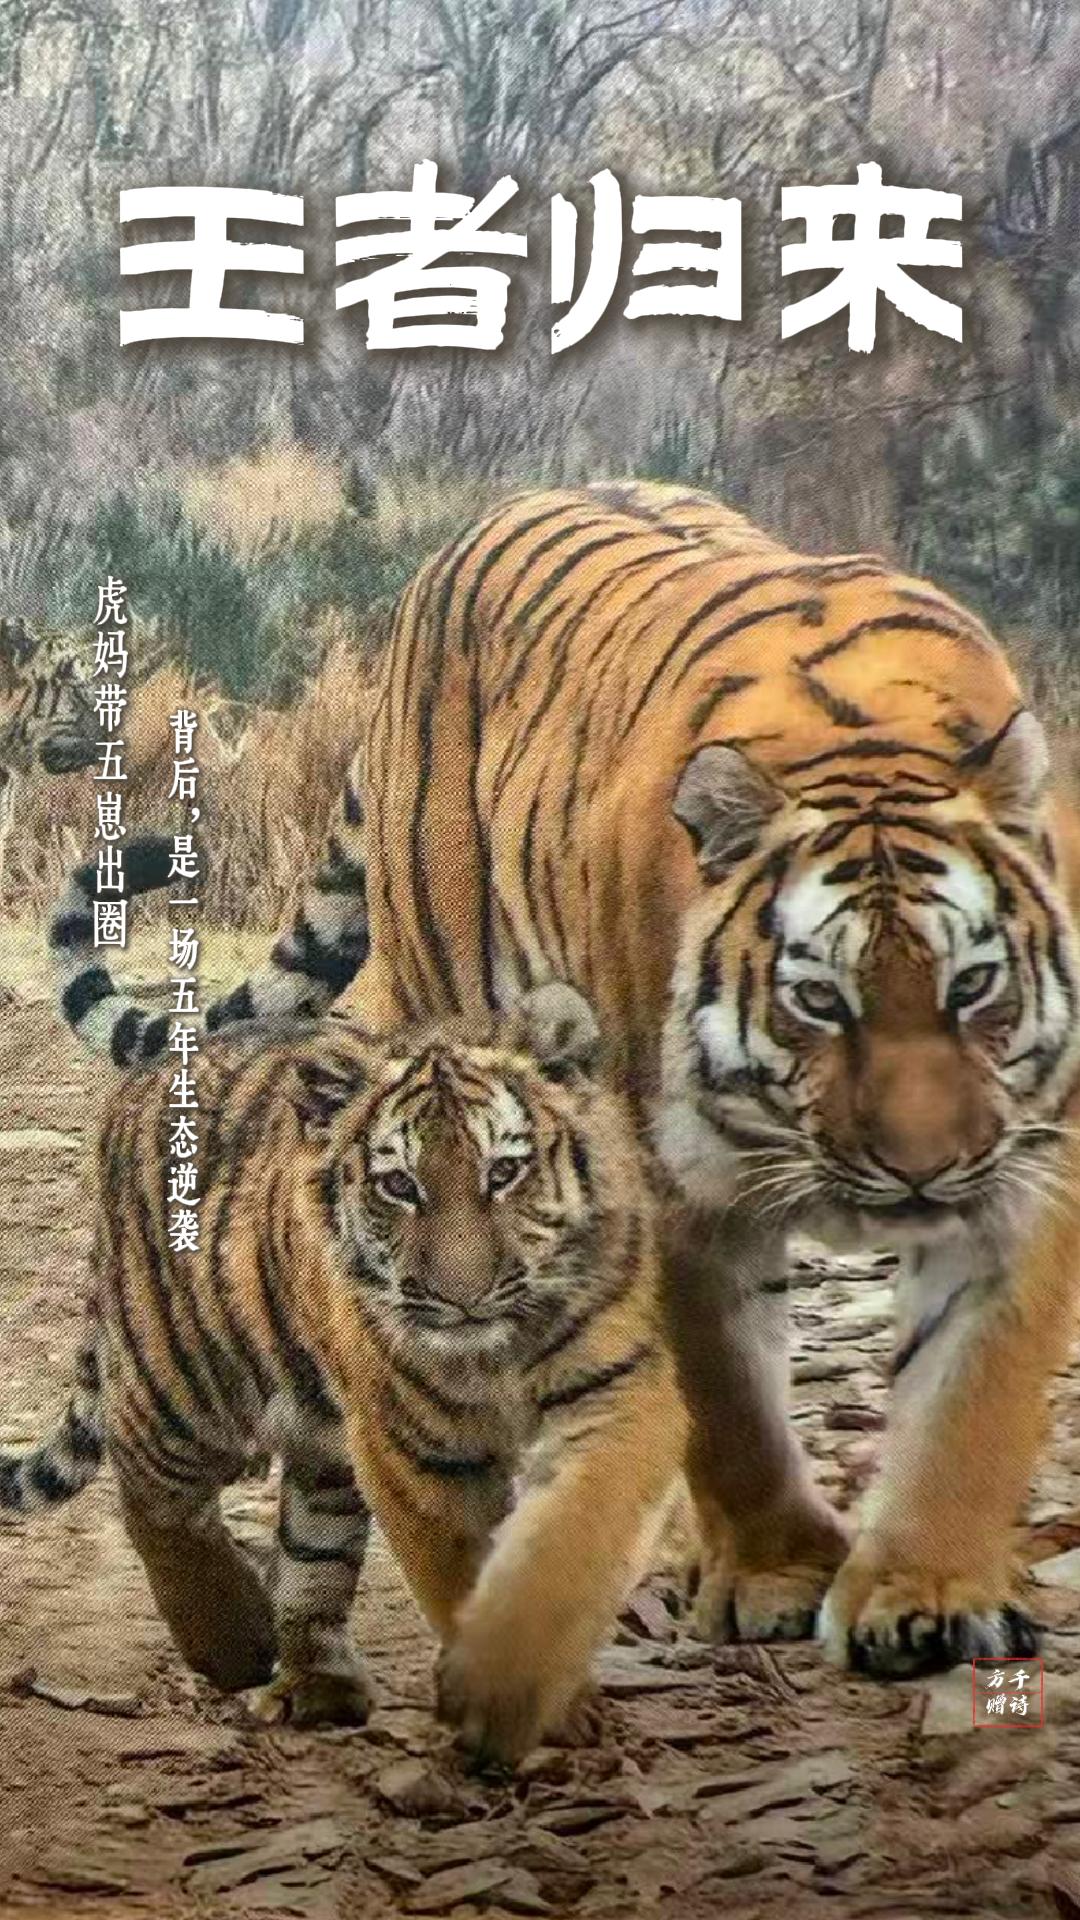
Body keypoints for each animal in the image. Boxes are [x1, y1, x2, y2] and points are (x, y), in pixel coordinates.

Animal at [4, 935, 682, 1767]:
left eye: (505, 1172)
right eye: (400, 1186)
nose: (463, 1296)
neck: (503, 1349)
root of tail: (176, 1051)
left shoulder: (619, 1393)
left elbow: (574, 1533)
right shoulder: (421, 1448)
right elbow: (465, 1571)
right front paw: (501, 1695)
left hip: (319, 1438)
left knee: (312, 1550)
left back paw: (315, 1685)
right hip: (182, 1380)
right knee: (154, 1495)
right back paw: (233, 1640)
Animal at [52, 479, 1080, 1680]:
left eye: (974, 986)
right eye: (818, 1001)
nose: (921, 1174)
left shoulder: (1023, 1165)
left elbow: (972, 1395)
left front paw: (927, 1594)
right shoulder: (673, 1185)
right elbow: (727, 1397)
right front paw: (775, 1574)